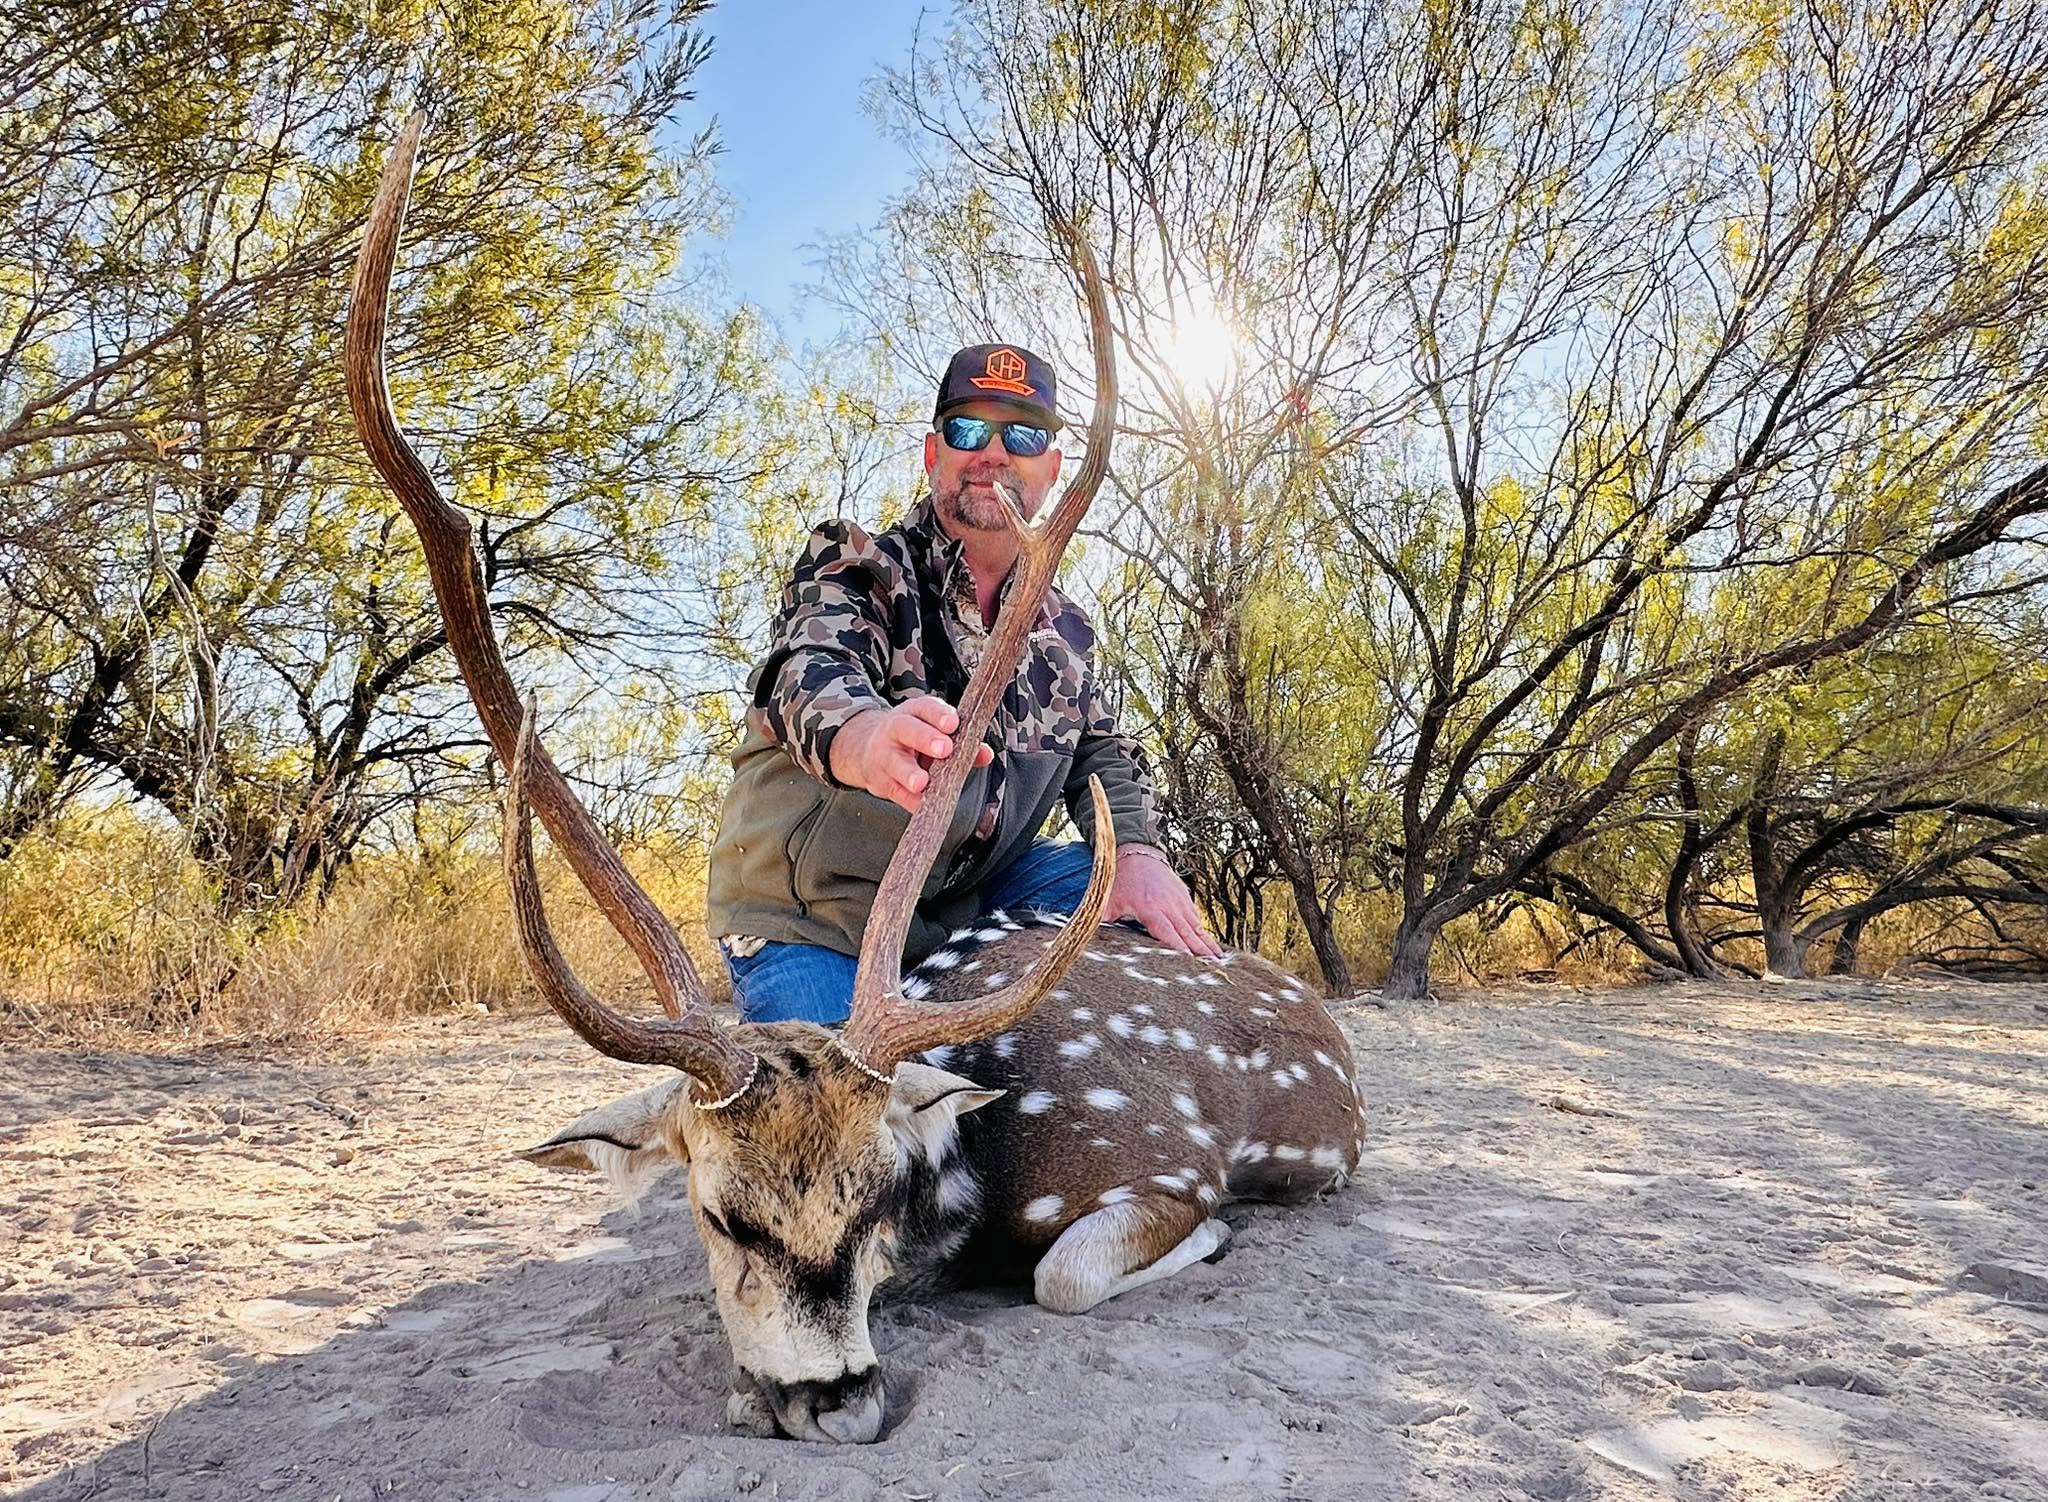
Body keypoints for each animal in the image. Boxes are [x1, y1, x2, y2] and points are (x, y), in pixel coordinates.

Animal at [345, 113, 1367, 1446]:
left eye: (874, 1195)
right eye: (719, 1211)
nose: (835, 1399)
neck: (981, 1165)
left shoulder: (1161, 1157)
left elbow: (1066, 1271)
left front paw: (1205, 1242)